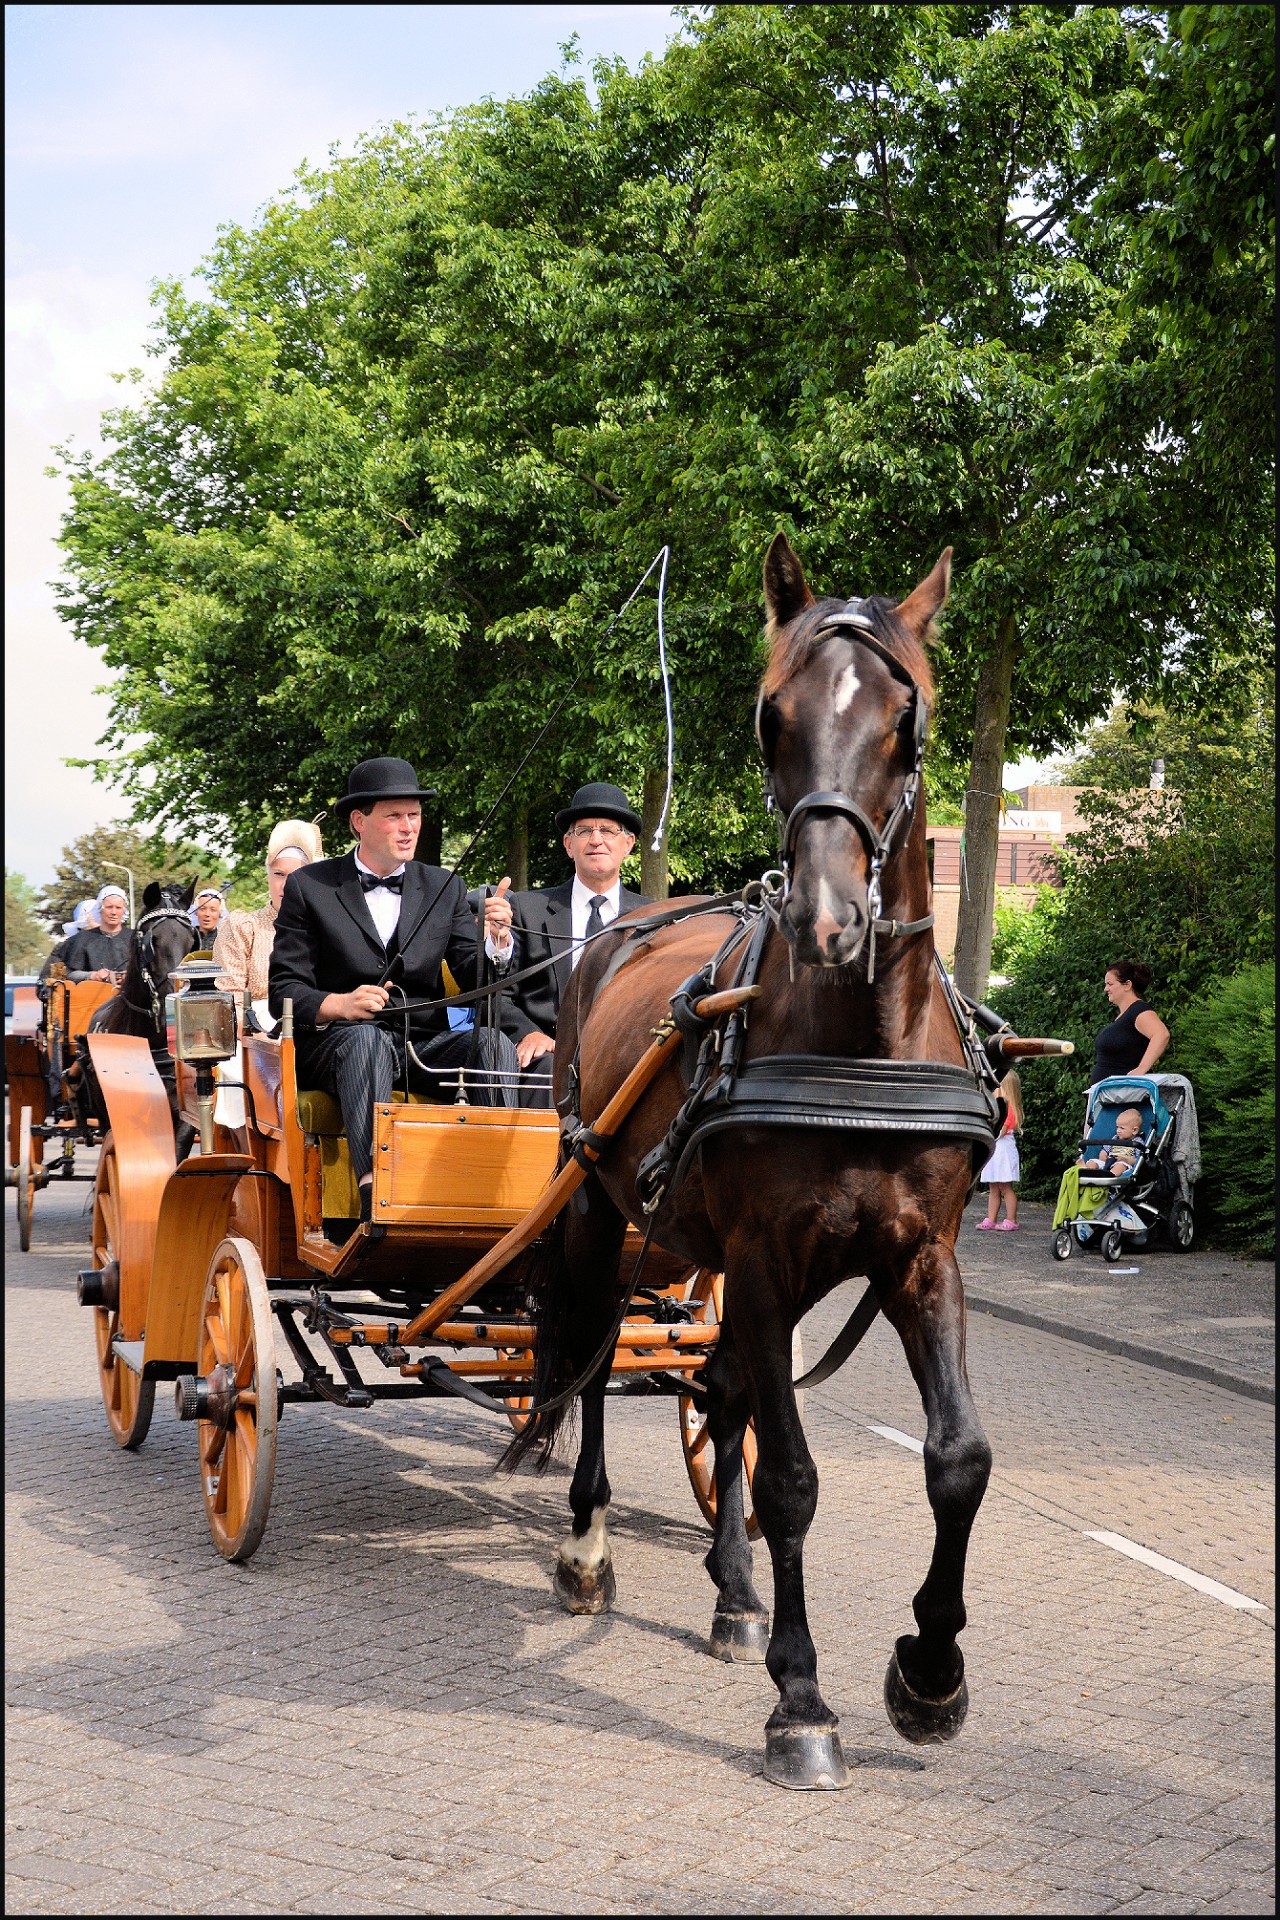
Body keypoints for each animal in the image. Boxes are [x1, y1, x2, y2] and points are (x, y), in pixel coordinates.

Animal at [506, 537, 990, 1781]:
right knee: (591, 1359)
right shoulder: (767, 1258)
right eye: (770, 716)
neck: (856, 1043)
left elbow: (955, 1458)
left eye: (908, 719)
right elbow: (791, 1477)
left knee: (714, 1390)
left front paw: (929, 1674)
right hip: (599, 1213)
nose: (826, 919)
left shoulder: (919, 1257)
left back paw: (730, 1594)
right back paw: (585, 1544)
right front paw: (802, 1702)